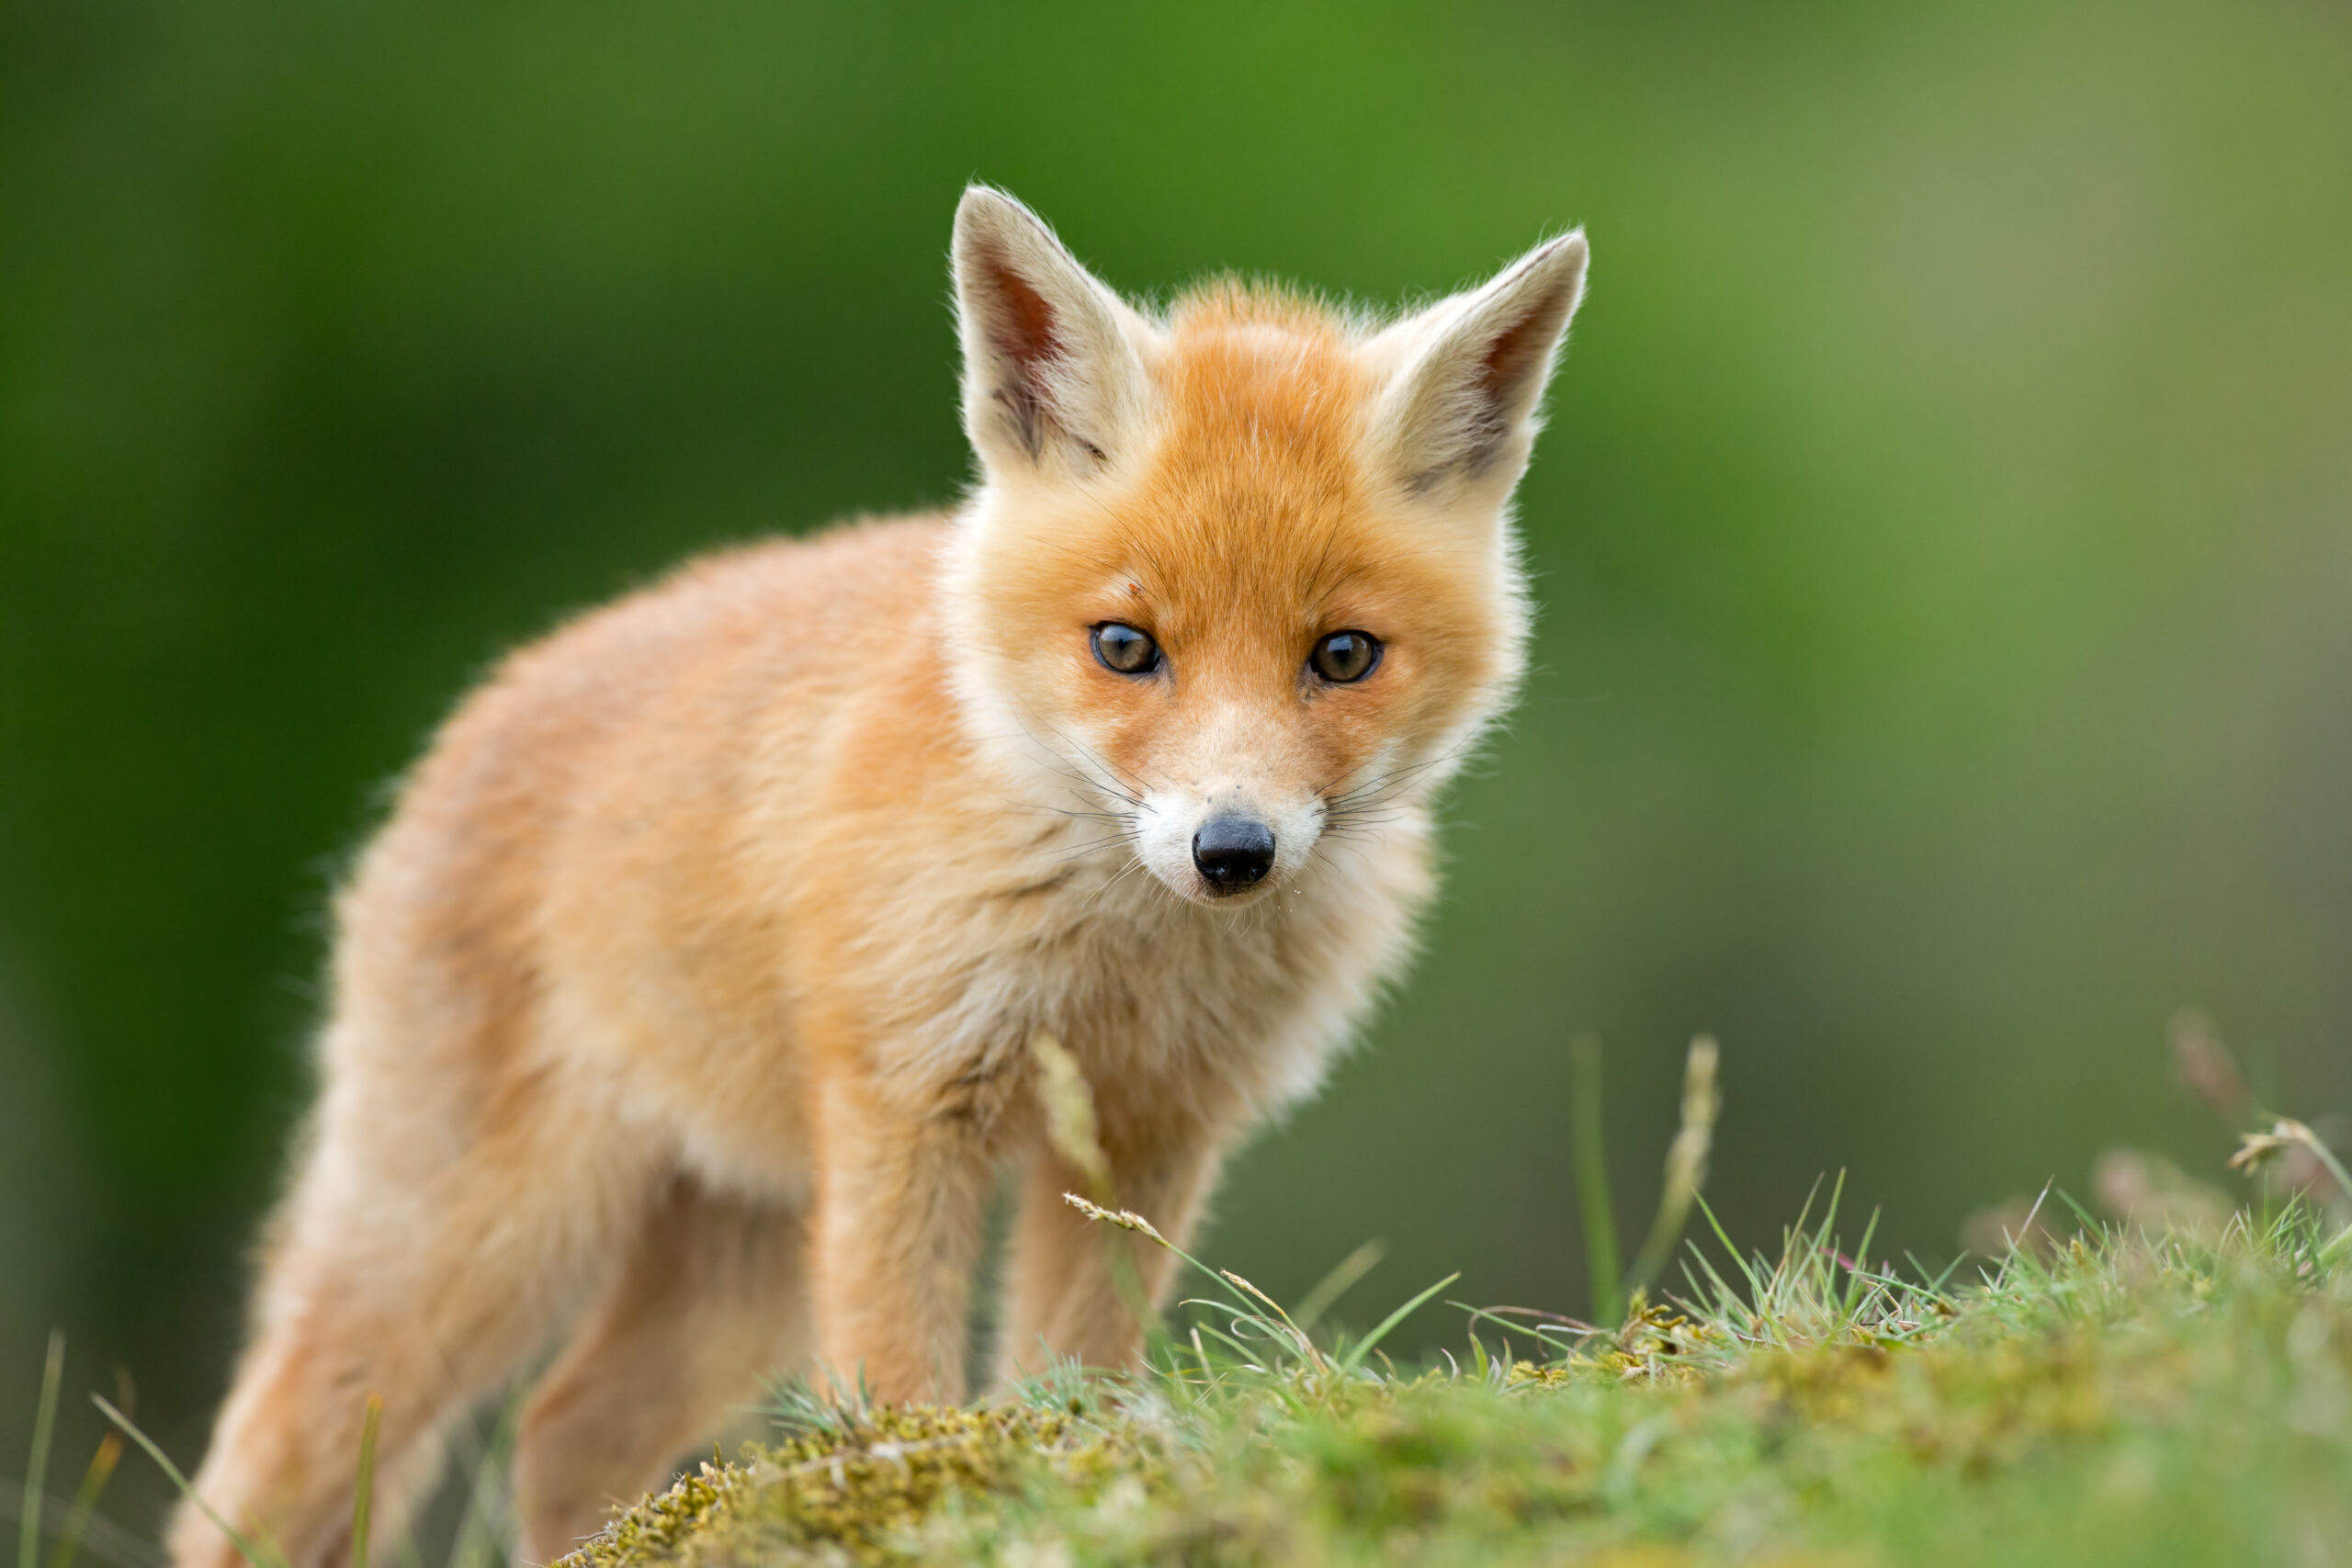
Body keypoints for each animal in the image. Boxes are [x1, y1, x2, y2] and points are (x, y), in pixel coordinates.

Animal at [174, 190, 1589, 1568]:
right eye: (1124, 646)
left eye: (1343, 655)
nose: (1231, 850)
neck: (1121, 957)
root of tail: (474, 712)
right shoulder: (910, 1096)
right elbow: (902, 1382)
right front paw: (919, 1498)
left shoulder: (1147, 1125)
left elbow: (1070, 1365)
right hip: (479, 1242)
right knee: (256, 1472)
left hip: (735, 1258)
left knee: (562, 1427)